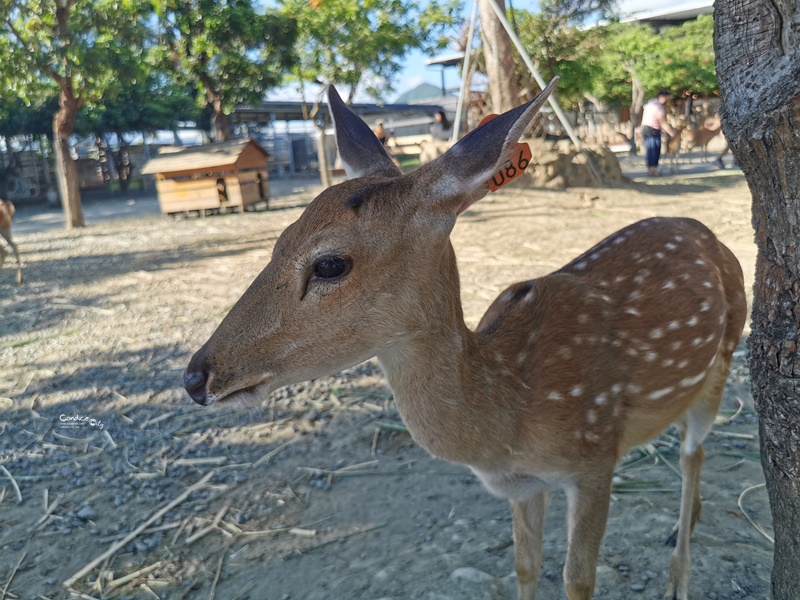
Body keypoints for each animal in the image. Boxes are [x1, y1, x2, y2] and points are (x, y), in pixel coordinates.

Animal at [184, 78, 748, 600]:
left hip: (723, 357)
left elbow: (577, 580)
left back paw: (679, 574)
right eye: (279, 240)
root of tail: (707, 233)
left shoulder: (595, 456)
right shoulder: (523, 487)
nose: (195, 376)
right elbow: (525, 567)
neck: (510, 411)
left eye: (329, 264)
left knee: (693, 452)